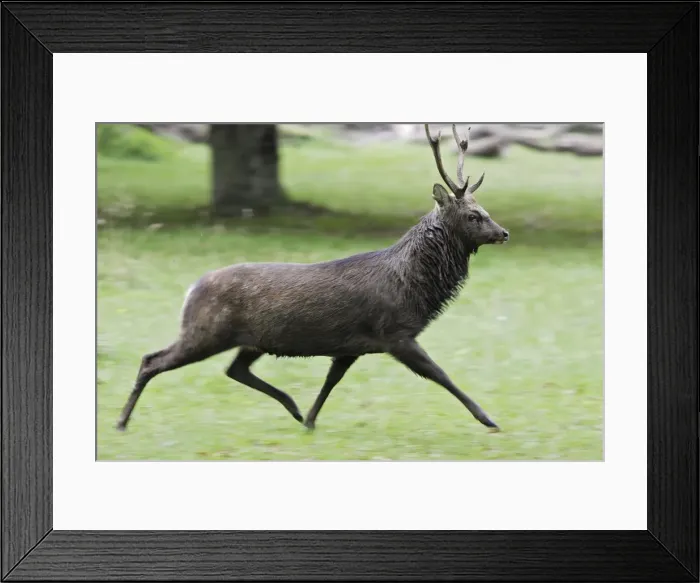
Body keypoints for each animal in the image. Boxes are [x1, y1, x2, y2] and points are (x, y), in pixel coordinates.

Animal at [116, 123, 510, 434]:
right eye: (474, 215)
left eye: (485, 210)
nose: (503, 233)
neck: (412, 289)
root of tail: (191, 289)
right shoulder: (394, 333)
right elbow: (440, 374)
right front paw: (488, 419)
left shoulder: (353, 345)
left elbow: (331, 380)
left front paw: (309, 419)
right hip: (206, 331)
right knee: (152, 360)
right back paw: (121, 421)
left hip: (251, 340)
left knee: (234, 369)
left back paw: (291, 407)